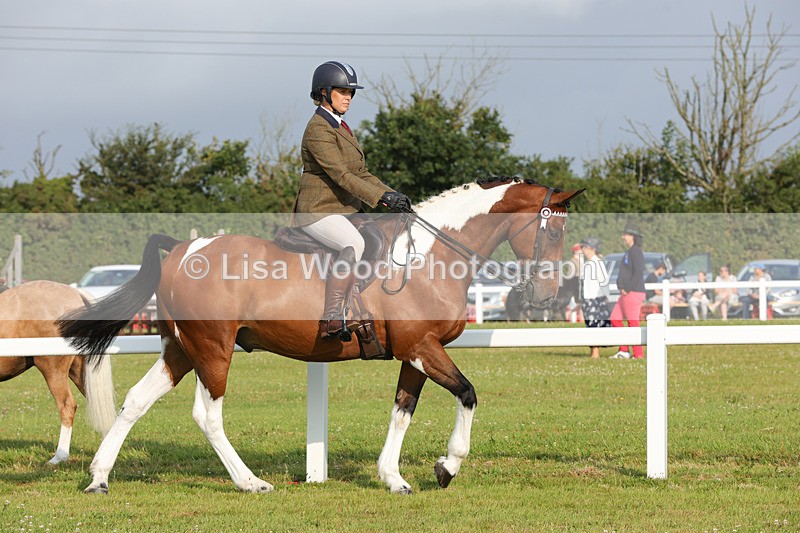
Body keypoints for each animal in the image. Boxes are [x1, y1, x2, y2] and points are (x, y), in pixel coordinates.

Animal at [58, 177, 584, 494]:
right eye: (554, 234)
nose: (546, 294)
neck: (429, 258)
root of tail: (185, 248)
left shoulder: (414, 354)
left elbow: (402, 411)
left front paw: (393, 477)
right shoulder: (422, 348)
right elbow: (468, 393)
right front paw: (447, 466)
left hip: (180, 350)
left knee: (136, 401)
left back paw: (99, 477)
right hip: (213, 350)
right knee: (207, 416)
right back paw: (250, 482)